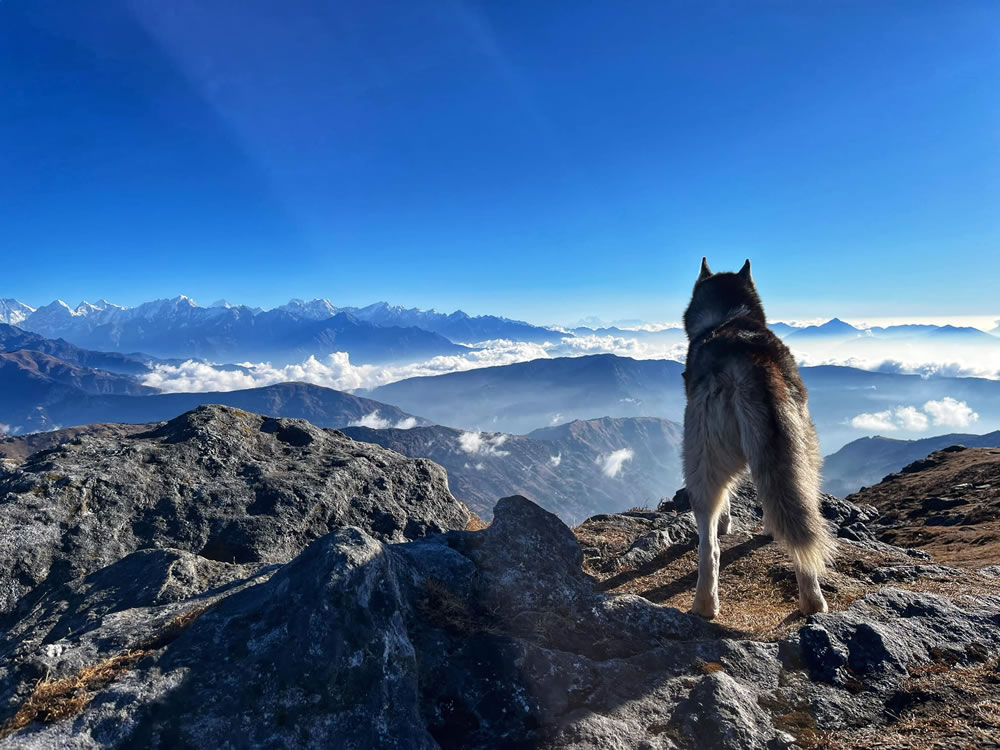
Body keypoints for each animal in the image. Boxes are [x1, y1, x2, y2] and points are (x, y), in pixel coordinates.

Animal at [680, 258, 836, 616]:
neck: (728, 316)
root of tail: (748, 359)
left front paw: (727, 524)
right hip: (800, 449)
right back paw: (813, 601)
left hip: (701, 453)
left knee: (709, 543)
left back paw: (704, 604)